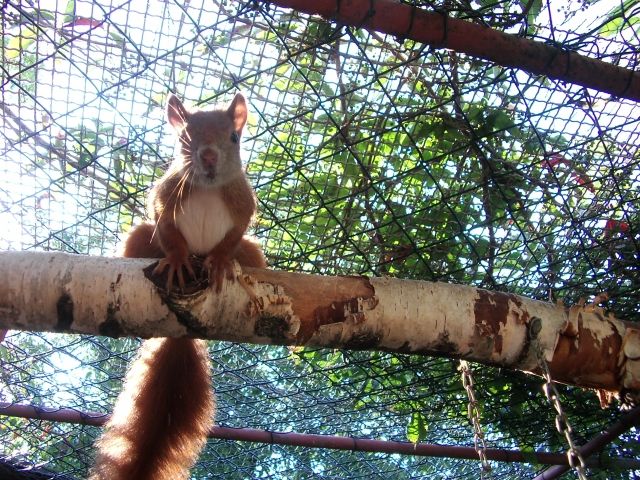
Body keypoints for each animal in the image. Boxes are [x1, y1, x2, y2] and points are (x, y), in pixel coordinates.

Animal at [89, 93, 266, 480]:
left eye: (234, 137)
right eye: (185, 137)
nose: (209, 156)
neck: (208, 188)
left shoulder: (243, 202)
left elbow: (234, 234)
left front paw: (220, 260)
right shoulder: (165, 195)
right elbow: (166, 227)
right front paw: (177, 258)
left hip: (254, 255)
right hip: (139, 239)